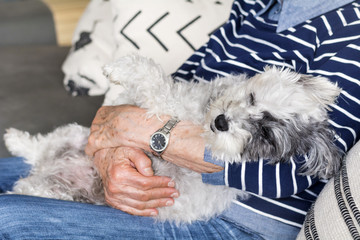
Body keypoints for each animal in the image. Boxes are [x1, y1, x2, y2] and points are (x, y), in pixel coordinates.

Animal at [4, 55, 342, 224]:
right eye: (252, 97)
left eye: (266, 135)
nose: (222, 122)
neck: (201, 115)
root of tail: (45, 173)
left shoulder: (165, 105)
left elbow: (154, 79)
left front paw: (119, 68)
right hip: (73, 135)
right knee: (40, 148)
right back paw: (16, 140)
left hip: (54, 189)